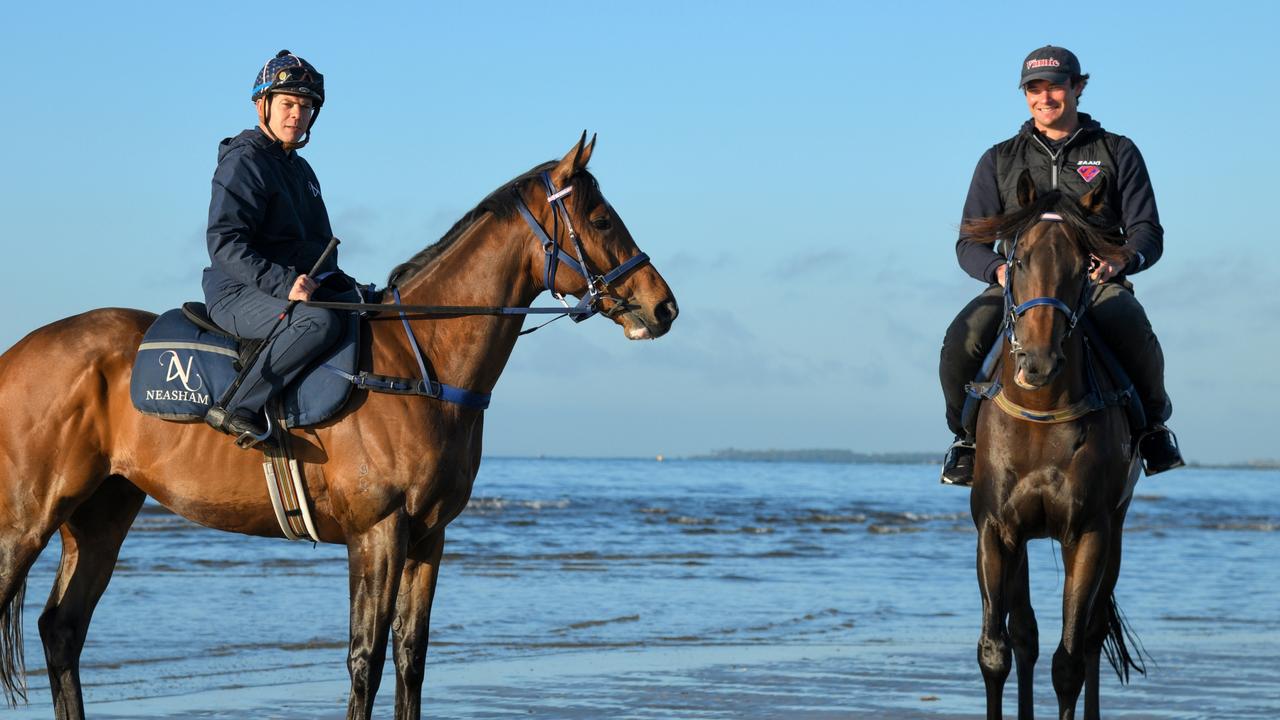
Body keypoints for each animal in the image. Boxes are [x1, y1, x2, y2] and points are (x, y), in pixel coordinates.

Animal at [0, 134, 680, 717]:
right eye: (601, 220)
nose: (663, 306)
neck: (419, 363)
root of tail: (17, 353)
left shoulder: (428, 537)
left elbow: (410, 658)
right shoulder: (377, 531)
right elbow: (366, 660)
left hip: (102, 512)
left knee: (62, 629)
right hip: (28, 517)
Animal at [962, 169, 1146, 717]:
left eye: (1082, 264)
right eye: (1019, 258)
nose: (1038, 361)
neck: (1041, 415)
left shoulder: (1089, 533)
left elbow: (1069, 662)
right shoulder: (995, 531)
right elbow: (996, 650)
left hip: (1116, 530)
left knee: (1091, 637)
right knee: (1025, 634)